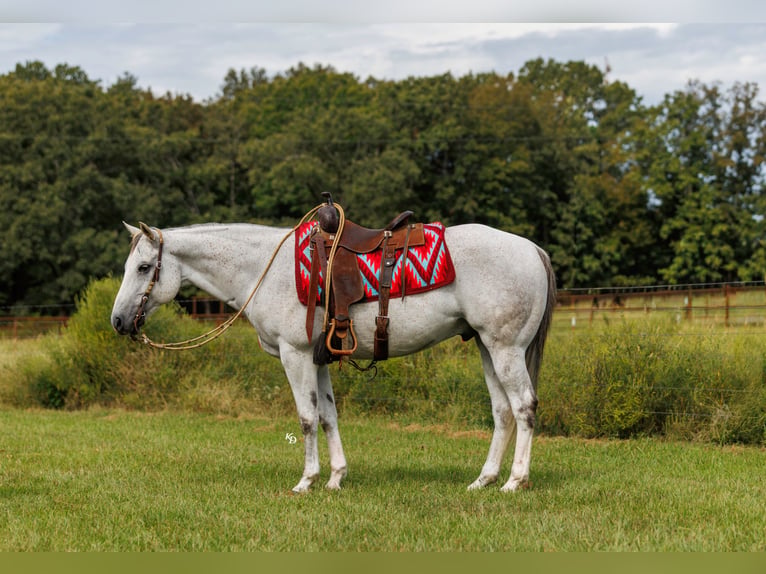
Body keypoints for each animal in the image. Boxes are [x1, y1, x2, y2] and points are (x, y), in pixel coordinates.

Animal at [111, 219, 556, 493]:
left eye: (144, 267)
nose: (117, 321)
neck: (263, 269)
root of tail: (532, 248)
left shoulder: (295, 356)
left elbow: (307, 419)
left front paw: (306, 481)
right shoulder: (317, 358)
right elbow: (328, 417)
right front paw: (335, 478)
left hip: (505, 349)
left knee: (524, 407)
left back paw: (515, 481)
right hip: (486, 347)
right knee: (502, 411)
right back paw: (485, 479)